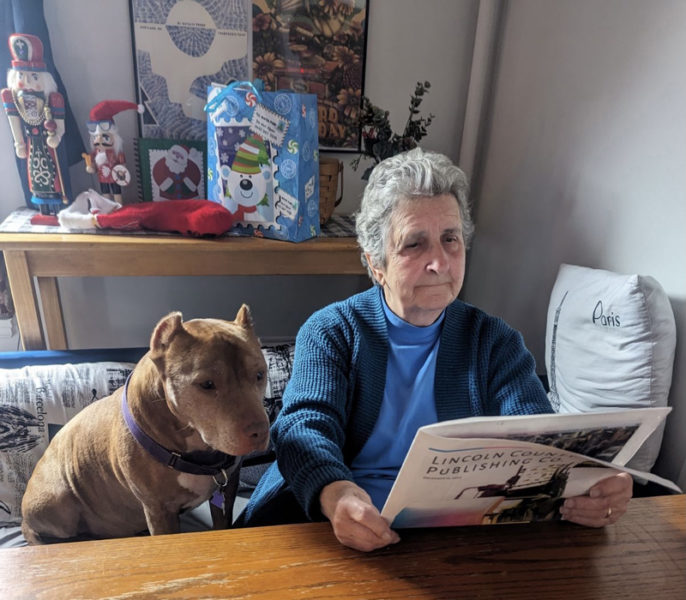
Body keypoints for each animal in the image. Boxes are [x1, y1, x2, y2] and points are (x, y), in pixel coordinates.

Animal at [22, 304, 268, 544]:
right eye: (207, 384)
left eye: (259, 375)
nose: (260, 431)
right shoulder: (159, 511)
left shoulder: (228, 489)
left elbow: (222, 524)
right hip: (56, 501)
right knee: (36, 529)